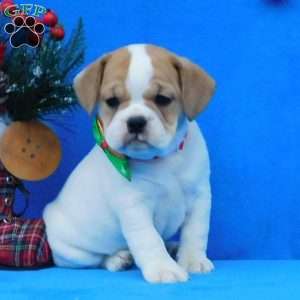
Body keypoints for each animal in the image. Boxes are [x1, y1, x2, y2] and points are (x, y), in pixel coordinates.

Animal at [42, 44, 216, 284]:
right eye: (112, 101)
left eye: (162, 99)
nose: (135, 121)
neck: (161, 160)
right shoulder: (134, 208)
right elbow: (150, 240)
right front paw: (163, 268)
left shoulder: (199, 197)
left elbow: (195, 232)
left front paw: (192, 259)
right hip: (73, 251)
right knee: (97, 260)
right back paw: (118, 258)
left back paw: (173, 247)